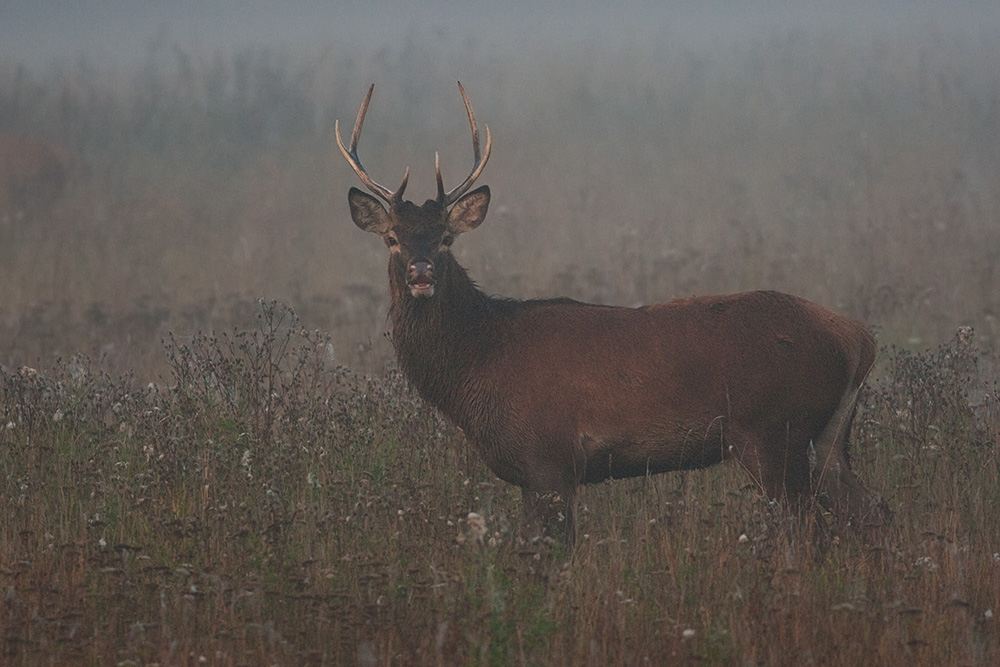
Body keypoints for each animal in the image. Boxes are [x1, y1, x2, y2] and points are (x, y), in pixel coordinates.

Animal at [336, 83, 892, 544]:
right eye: (392, 238)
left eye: (446, 238)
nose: (421, 272)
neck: (479, 365)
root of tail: (858, 338)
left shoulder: (550, 459)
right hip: (828, 435)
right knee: (870, 512)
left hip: (774, 429)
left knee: (810, 527)